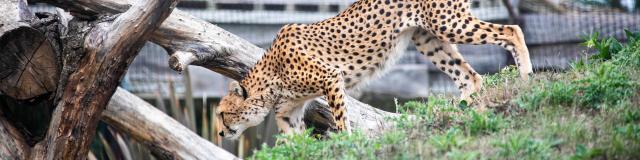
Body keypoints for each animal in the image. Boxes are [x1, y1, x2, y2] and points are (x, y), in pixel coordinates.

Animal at [218, 0, 532, 139]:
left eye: (222, 114)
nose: (220, 134)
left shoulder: (330, 77)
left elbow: (340, 119)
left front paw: (345, 144)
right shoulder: (288, 110)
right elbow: (293, 136)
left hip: (447, 22)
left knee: (512, 30)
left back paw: (527, 77)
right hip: (427, 37)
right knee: (470, 76)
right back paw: (461, 110)